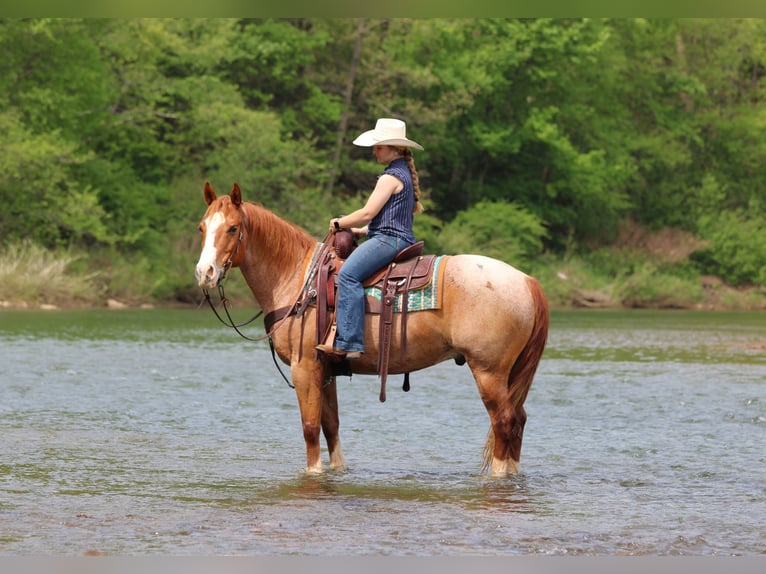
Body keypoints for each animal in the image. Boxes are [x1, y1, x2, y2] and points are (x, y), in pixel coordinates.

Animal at [195, 182, 549, 477]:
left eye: (233, 228)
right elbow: (331, 426)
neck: (297, 278)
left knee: (504, 422)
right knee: (518, 421)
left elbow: (310, 428)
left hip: (489, 371)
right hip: (510, 373)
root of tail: (527, 280)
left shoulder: (304, 367)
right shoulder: (325, 369)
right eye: (202, 227)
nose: (205, 272)